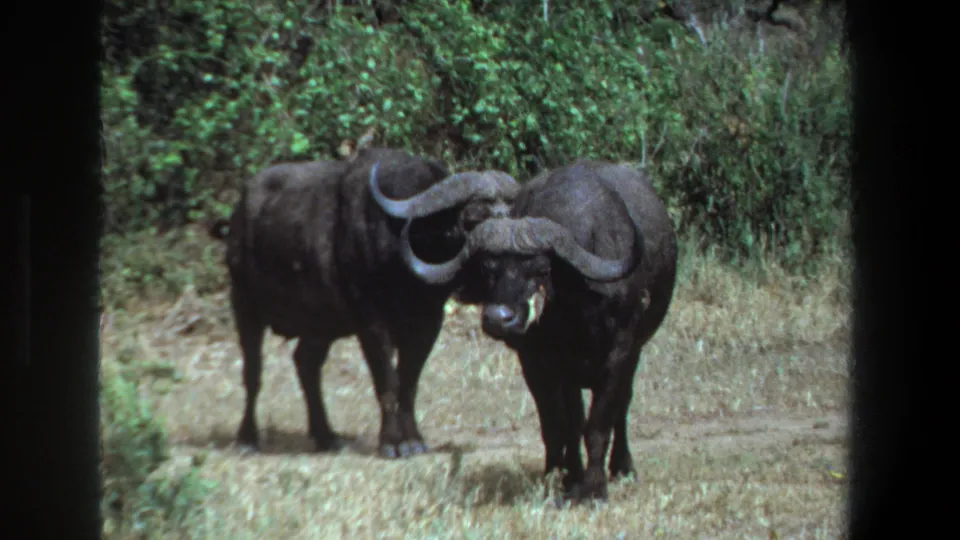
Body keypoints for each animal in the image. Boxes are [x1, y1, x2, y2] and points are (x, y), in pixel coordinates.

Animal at [217, 147, 519, 458]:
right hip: (245, 305)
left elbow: (409, 382)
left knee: (306, 364)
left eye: (509, 215)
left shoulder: (429, 323)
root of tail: (238, 216)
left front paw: (413, 440)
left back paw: (327, 437)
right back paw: (247, 439)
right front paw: (391, 443)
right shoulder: (372, 324)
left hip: (320, 326)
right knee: (253, 372)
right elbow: (387, 381)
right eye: (473, 217)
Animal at [399, 160, 679, 502]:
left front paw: (594, 487)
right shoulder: (544, 362)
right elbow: (565, 424)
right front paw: (568, 479)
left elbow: (599, 423)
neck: (577, 309)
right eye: (488, 268)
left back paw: (623, 467)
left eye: (541, 270)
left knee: (622, 407)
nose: (498, 318)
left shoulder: (620, 353)